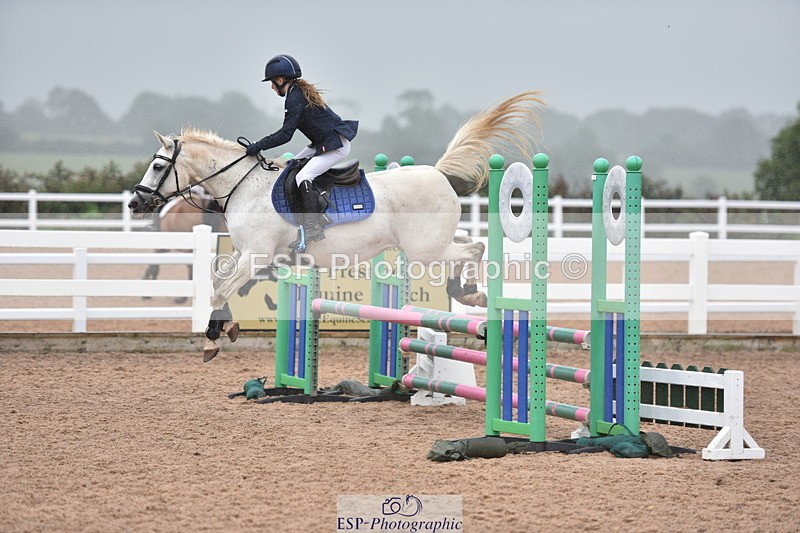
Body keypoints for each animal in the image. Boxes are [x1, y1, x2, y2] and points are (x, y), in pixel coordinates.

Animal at [128, 91, 544, 362]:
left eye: (159, 166)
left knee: (474, 248)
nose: (135, 203)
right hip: (433, 243)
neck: (245, 186)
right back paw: (467, 291)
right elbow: (219, 283)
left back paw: (468, 293)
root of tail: (438, 172)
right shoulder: (251, 255)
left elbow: (220, 289)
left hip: (425, 250)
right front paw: (226, 328)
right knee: (468, 242)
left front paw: (213, 340)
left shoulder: (256, 255)